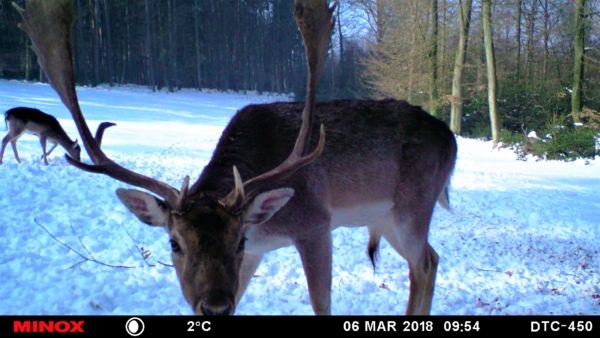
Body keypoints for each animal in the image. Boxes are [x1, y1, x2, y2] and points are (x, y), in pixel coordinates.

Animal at [17, 0, 460, 316]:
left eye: (239, 238)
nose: (213, 305)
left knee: (423, 263)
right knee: (433, 258)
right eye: (174, 242)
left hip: (412, 206)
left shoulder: (315, 224)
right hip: (384, 218)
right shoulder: (257, 254)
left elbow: (322, 304)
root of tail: (452, 141)